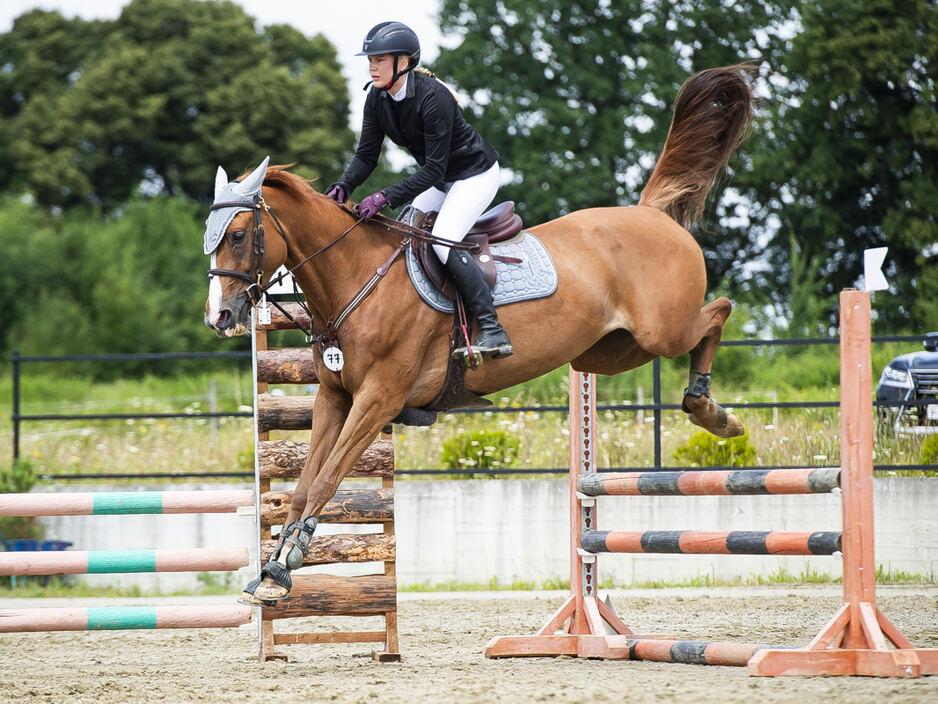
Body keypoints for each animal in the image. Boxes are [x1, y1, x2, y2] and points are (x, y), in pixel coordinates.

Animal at [204, 65, 753, 603]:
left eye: (238, 236)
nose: (219, 318)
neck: (357, 275)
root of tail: (650, 214)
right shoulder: (335, 397)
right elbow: (303, 484)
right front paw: (271, 569)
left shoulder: (379, 398)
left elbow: (326, 480)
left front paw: (285, 566)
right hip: (607, 353)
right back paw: (712, 412)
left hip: (663, 330)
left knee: (717, 312)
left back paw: (714, 412)